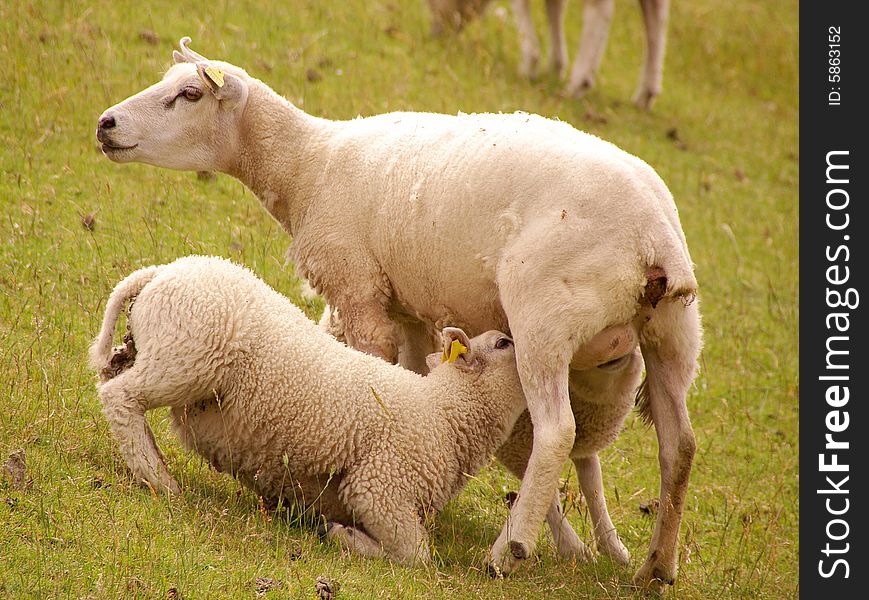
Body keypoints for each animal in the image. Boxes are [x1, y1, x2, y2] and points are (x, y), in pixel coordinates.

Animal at [91, 255, 532, 564]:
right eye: (503, 343)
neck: (445, 414)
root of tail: (161, 272)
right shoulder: (379, 486)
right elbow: (418, 555)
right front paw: (343, 537)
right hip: (189, 357)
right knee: (120, 398)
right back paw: (159, 478)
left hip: (158, 351)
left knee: (115, 379)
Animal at [428, 0, 672, 108]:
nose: (436, 34)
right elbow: (554, 7)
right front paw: (555, 66)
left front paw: (530, 64)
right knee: (657, 12)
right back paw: (646, 93)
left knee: (601, 9)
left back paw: (577, 83)